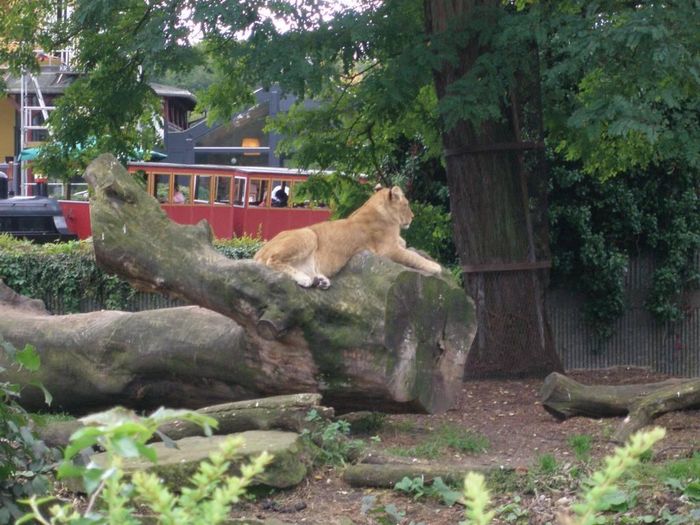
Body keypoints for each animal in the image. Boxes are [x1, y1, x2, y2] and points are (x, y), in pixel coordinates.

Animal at [253, 186, 442, 288]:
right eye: (407, 205)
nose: (413, 217)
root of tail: (258, 252)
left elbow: (407, 246)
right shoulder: (387, 249)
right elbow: (413, 256)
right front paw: (435, 266)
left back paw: (320, 280)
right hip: (308, 234)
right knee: (272, 260)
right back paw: (305, 279)